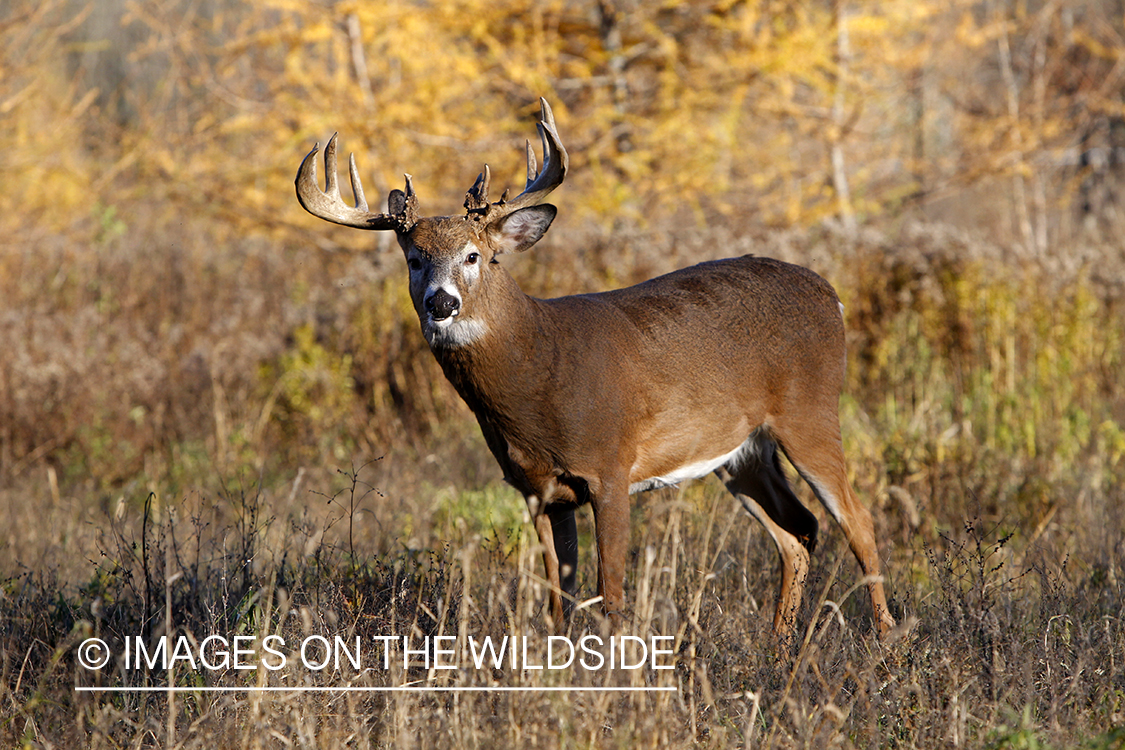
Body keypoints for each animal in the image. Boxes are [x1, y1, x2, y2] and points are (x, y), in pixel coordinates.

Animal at [297, 99, 895, 638]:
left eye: (475, 255)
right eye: (414, 259)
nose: (441, 303)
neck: (539, 377)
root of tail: (831, 294)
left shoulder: (612, 466)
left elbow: (612, 599)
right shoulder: (537, 489)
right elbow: (558, 600)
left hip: (811, 411)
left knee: (858, 522)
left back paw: (887, 645)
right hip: (740, 451)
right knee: (799, 532)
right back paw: (779, 647)